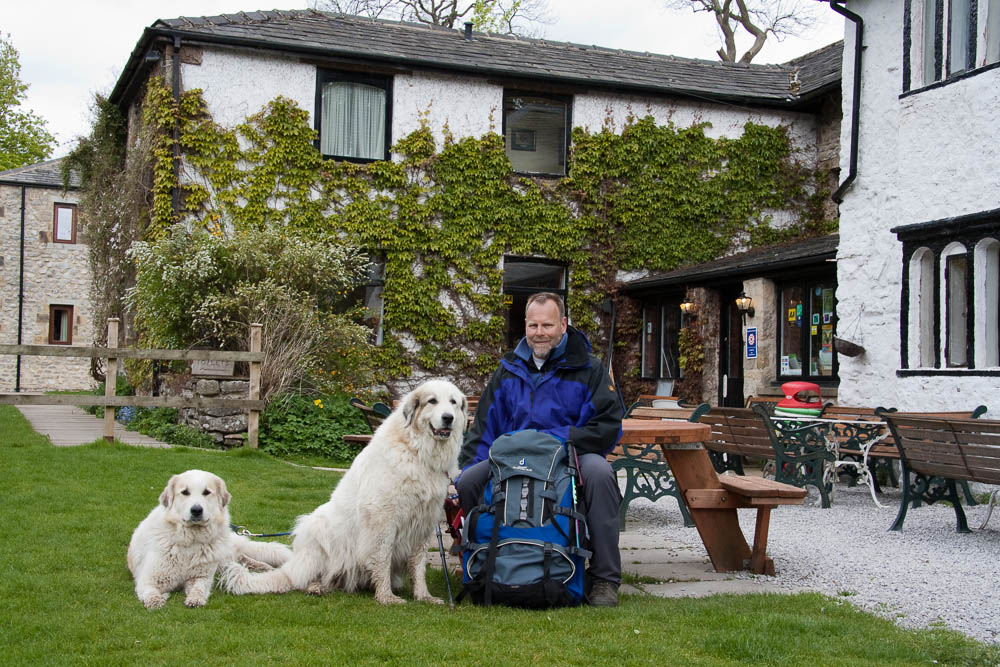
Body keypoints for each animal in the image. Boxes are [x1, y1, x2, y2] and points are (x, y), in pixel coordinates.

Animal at [127, 470, 292, 612]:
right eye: (185, 492)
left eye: (206, 492)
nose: (196, 510)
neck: (190, 541)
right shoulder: (148, 580)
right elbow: (150, 593)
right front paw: (156, 601)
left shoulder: (201, 577)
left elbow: (199, 589)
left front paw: (195, 600)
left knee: (241, 557)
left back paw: (265, 567)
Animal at [223, 380, 464, 604]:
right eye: (432, 401)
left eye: (453, 402)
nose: (448, 418)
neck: (417, 451)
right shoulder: (383, 518)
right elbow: (383, 557)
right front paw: (386, 597)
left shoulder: (424, 523)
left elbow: (418, 564)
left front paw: (423, 596)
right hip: (318, 529)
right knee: (303, 578)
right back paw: (316, 586)